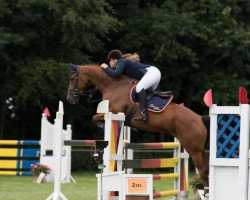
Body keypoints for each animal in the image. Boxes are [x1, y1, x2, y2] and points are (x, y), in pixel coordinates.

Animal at [67, 63, 209, 186]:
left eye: (73, 78)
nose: (69, 99)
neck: (114, 86)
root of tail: (199, 118)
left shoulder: (114, 112)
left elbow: (94, 118)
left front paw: (102, 126)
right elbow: (95, 118)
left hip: (193, 149)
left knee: (203, 170)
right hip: (198, 148)